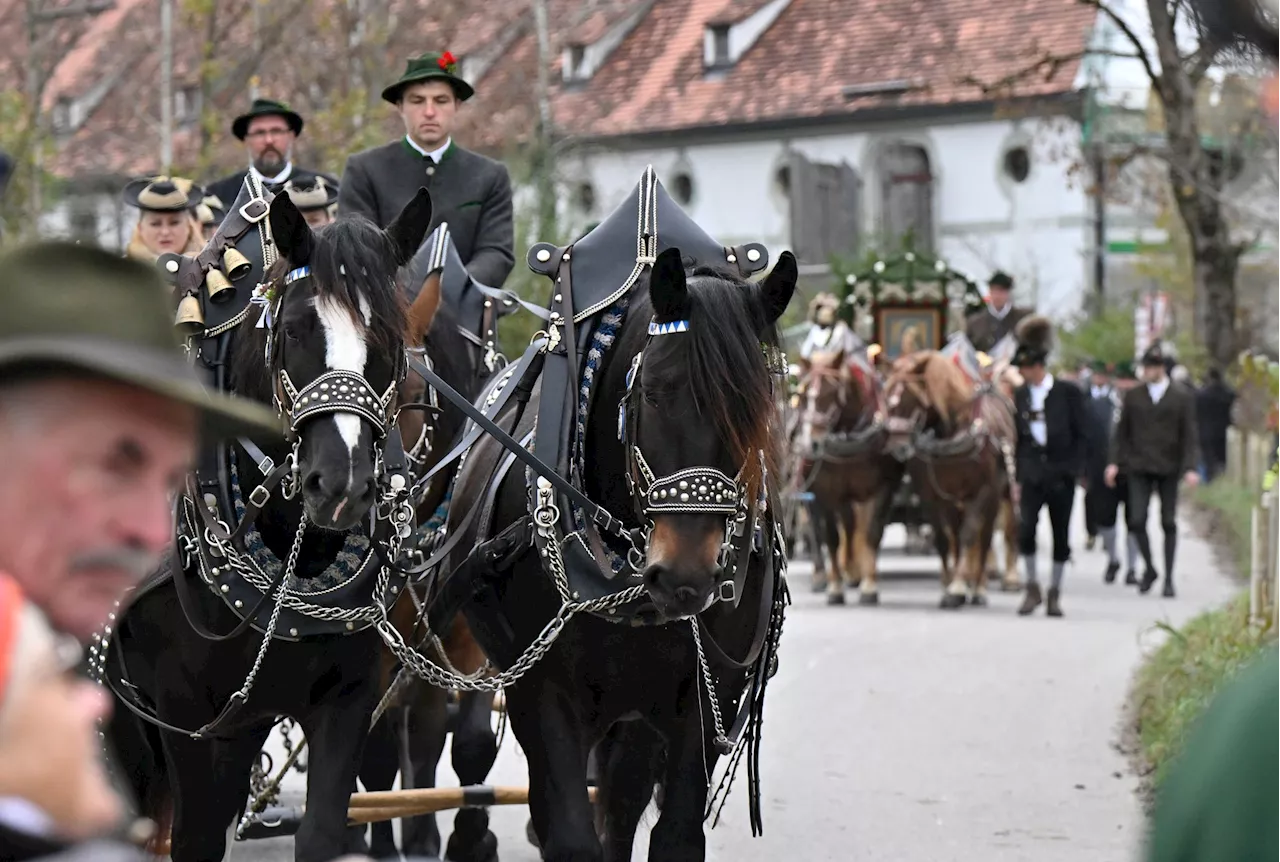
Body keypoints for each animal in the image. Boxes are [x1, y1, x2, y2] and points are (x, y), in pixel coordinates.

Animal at [103, 188, 445, 860]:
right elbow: (195, 840)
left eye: (390, 338)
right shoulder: (185, 719)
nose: (340, 485)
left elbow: (321, 831)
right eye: (293, 330)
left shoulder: (342, 700)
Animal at [445, 245, 793, 855]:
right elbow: (570, 834)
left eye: (756, 407)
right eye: (653, 391)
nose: (684, 575)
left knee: (625, 797)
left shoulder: (708, 702)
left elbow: (674, 834)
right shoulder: (542, 697)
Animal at [788, 345, 901, 601]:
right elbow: (831, 536)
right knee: (819, 530)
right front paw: (835, 588)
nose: (812, 444)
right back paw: (823, 575)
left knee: (851, 525)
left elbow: (871, 532)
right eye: (804, 394)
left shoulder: (883, 487)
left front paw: (869, 585)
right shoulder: (823, 492)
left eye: (830, 392)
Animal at [885, 348, 1013, 604]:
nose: (897, 447)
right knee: (955, 532)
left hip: (998, 495)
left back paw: (981, 585)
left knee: (986, 534)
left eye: (909, 396)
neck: (953, 432)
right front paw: (950, 586)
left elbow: (969, 535)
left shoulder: (982, 491)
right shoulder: (932, 495)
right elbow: (944, 539)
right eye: (887, 396)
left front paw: (959, 587)